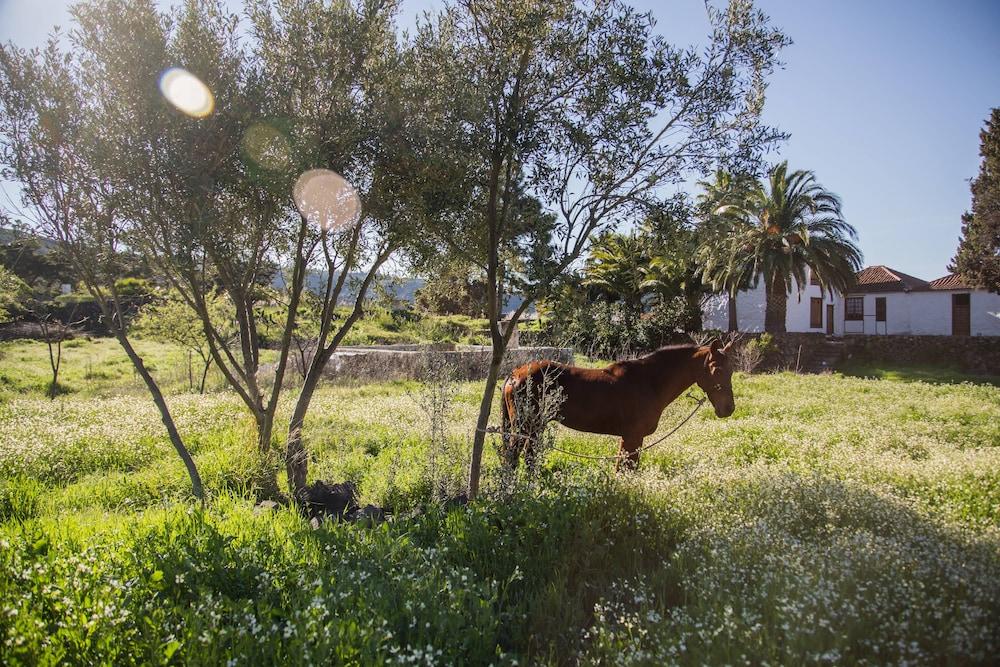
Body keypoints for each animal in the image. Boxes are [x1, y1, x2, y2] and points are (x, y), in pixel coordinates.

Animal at [500, 344, 736, 470]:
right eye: (716, 369)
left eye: (731, 370)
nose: (728, 408)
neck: (649, 382)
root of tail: (514, 375)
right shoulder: (633, 437)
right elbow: (625, 470)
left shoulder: (630, 439)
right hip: (525, 427)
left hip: (534, 428)